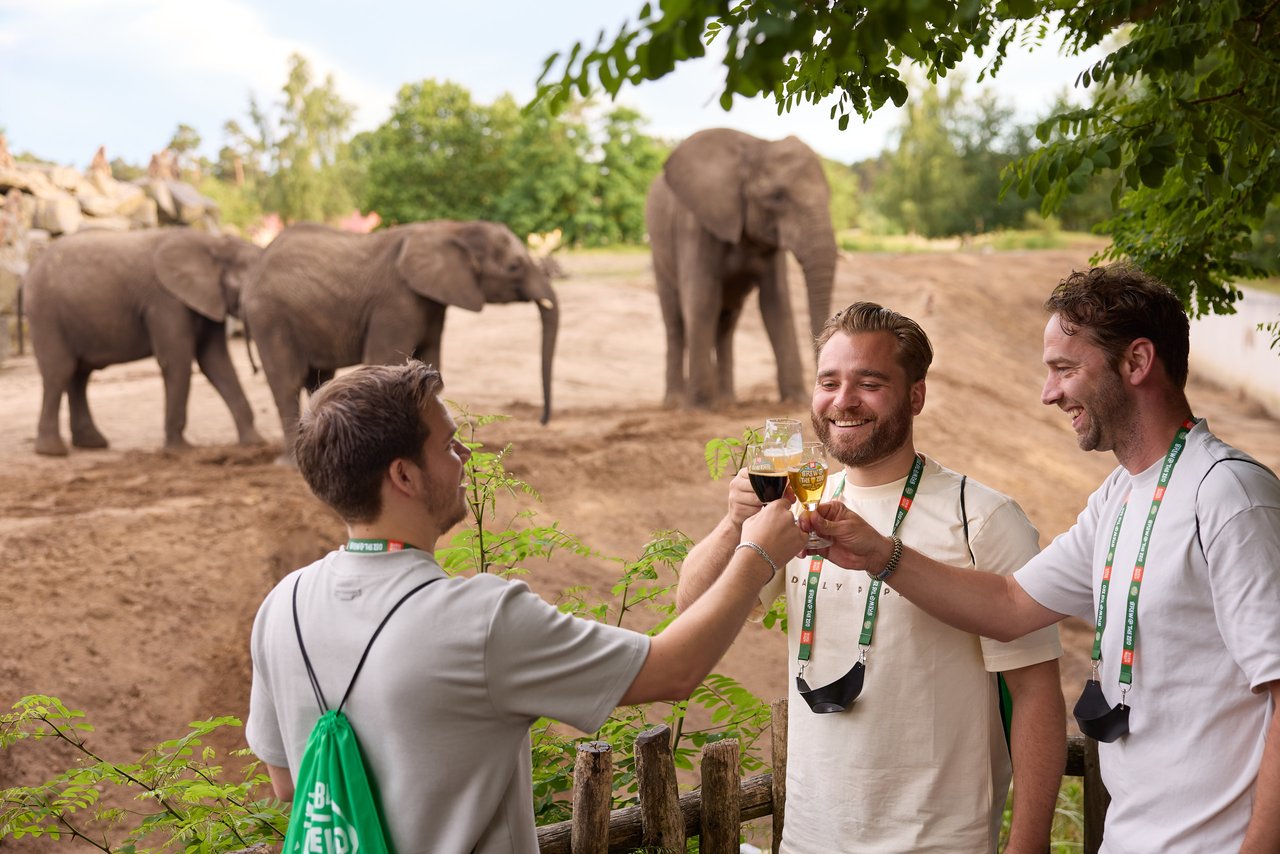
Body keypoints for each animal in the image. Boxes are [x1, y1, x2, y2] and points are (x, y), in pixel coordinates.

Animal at [23, 225, 264, 453]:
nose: (255, 369)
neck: (218, 245)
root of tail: (33, 264)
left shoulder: (208, 299)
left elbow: (216, 363)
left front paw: (254, 444)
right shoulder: (165, 300)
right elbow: (176, 361)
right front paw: (179, 451)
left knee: (80, 374)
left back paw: (91, 443)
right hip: (46, 314)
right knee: (60, 371)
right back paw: (52, 451)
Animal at [240, 220, 560, 460]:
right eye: (514, 267)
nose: (543, 420)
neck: (451, 228)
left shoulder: (431, 303)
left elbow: (432, 364)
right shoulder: (396, 302)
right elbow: (386, 363)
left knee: (317, 380)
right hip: (269, 317)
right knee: (287, 384)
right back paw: (292, 465)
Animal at [650, 125, 839, 409]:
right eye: (777, 197)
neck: (757, 147)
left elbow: (776, 303)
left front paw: (794, 400)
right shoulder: (695, 226)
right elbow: (702, 299)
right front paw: (700, 407)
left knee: (726, 324)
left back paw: (727, 403)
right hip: (658, 253)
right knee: (675, 320)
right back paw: (676, 403)